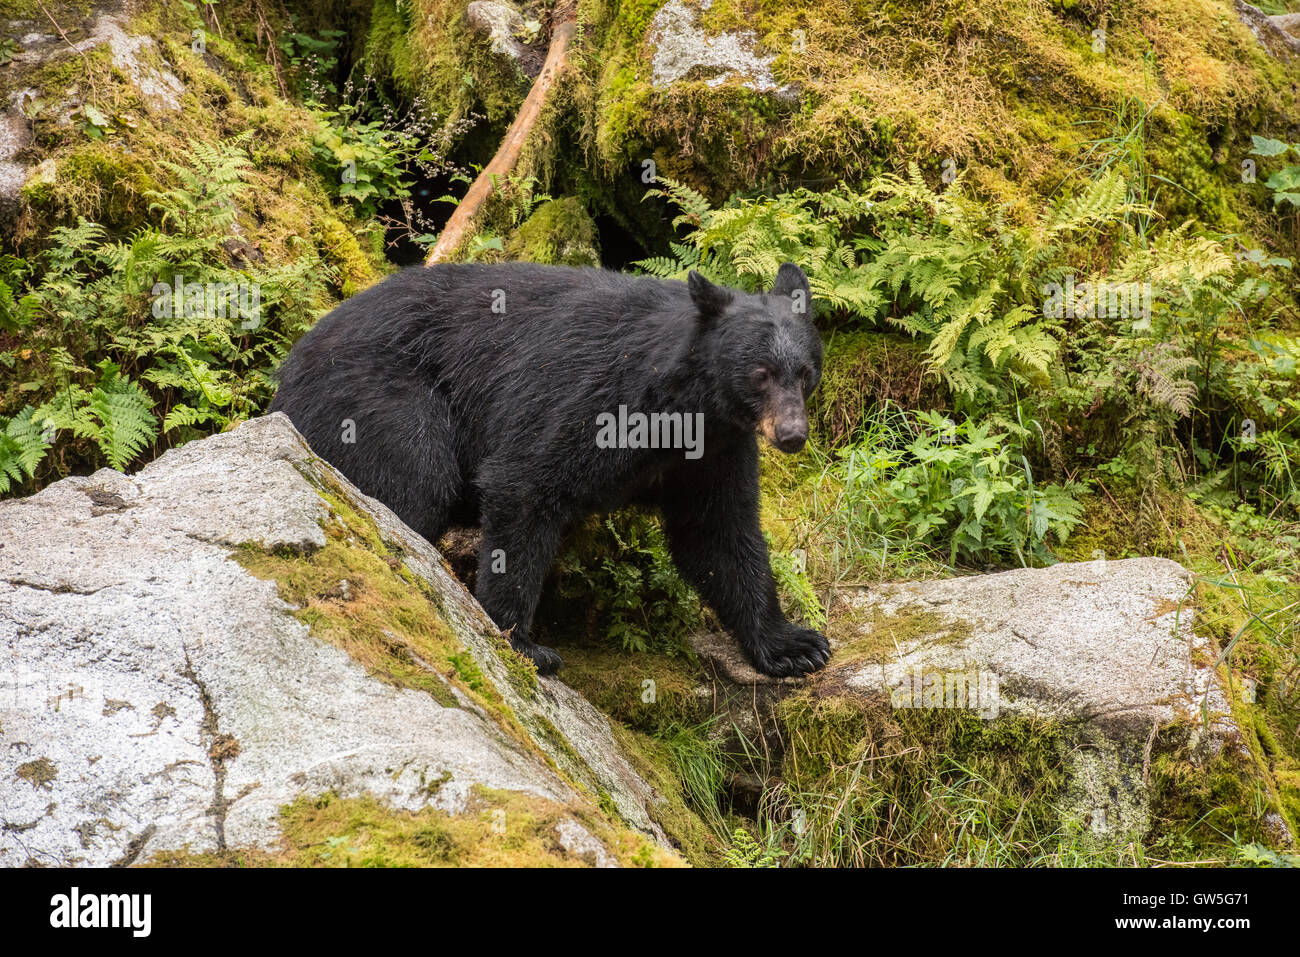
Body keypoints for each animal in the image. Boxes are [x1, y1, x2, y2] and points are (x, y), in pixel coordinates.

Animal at [269, 261, 826, 676]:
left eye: (805, 373)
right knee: (411, 487)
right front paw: (521, 642)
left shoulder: (713, 448)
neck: (681, 404)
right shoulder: (589, 395)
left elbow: (717, 532)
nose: (793, 434)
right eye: (761, 374)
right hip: (380, 398)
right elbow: (525, 484)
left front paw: (794, 645)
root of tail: (287, 373)